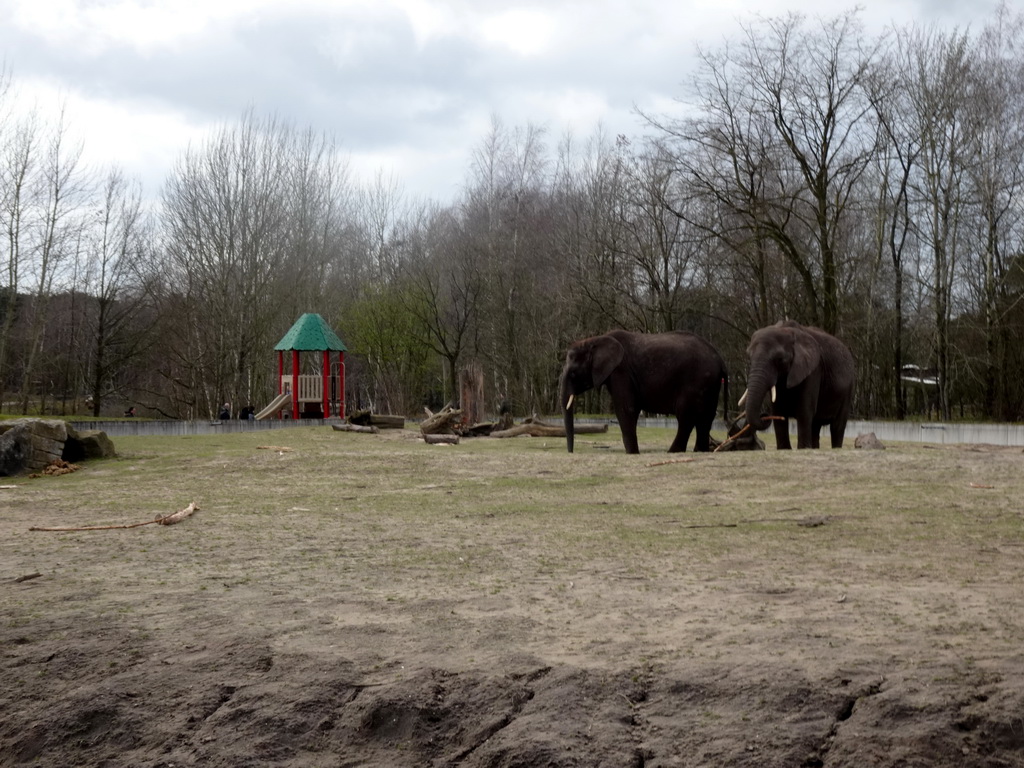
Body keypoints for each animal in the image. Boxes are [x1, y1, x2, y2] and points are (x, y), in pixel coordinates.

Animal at [741, 319, 851, 450]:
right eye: (749, 357)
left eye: (779, 359)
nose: (764, 415)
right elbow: (778, 412)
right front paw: (785, 449)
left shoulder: (813, 370)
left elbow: (804, 411)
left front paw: (802, 449)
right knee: (816, 425)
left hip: (848, 389)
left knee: (837, 425)